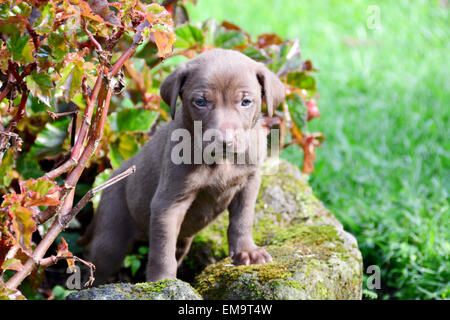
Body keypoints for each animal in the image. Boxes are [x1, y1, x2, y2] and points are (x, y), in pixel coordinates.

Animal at [78, 48, 284, 284]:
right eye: (201, 102)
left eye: (246, 102)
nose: (224, 141)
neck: (221, 162)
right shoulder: (168, 203)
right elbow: (162, 251)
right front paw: (162, 281)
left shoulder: (249, 183)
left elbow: (243, 220)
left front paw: (247, 252)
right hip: (112, 232)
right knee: (100, 262)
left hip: (182, 239)